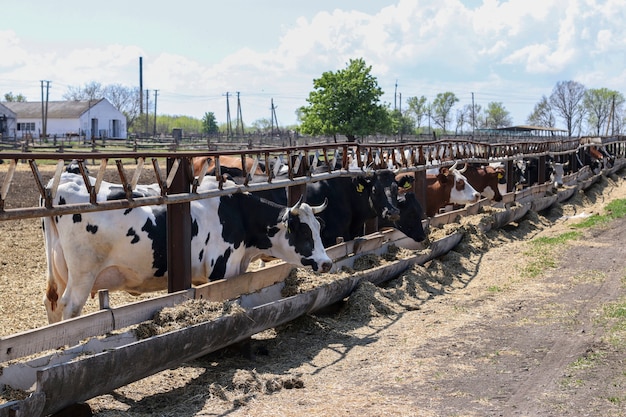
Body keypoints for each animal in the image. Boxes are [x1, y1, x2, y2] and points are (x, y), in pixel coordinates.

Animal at [40, 172, 330, 322]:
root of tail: (62, 182)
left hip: (60, 272)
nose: (326, 262)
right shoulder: (219, 272)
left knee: (52, 304)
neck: (235, 212)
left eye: (318, 228)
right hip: (82, 274)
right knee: (70, 307)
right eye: (303, 231)